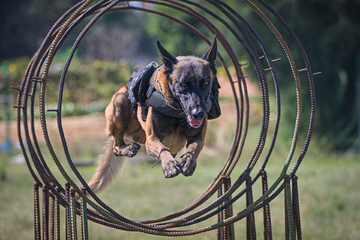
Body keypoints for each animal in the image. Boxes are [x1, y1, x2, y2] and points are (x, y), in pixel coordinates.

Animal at [85, 37, 219, 195]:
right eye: (184, 84)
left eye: (205, 83)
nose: (198, 114)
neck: (177, 113)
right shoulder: (152, 139)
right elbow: (163, 149)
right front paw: (169, 164)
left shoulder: (198, 137)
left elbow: (194, 148)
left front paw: (188, 161)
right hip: (120, 99)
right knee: (116, 147)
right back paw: (127, 148)